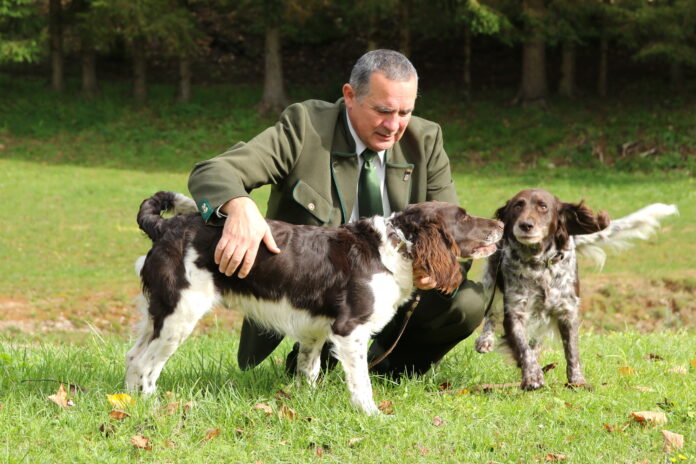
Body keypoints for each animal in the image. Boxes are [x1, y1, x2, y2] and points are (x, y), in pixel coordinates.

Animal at [126, 191, 503, 414]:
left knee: (132, 357)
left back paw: (127, 401)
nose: (501, 223)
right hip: (180, 313)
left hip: (159, 313)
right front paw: (372, 414)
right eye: (464, 217)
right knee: (147, 365)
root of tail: (166, 228)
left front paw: (305, 403)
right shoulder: (351, 330)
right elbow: (361, 382)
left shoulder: (315, 331)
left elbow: (309, 370)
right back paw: (151, 406)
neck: (395, 248)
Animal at [474, 188, 677, 390]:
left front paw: (577, 381)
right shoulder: (516, 311)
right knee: (491, 314)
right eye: (517, 205)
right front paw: (532, 376)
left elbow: (571, 351)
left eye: (543, 206)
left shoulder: (567, 311)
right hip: (491, 281)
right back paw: (485, 341)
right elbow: (523, 347)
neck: (540, 265)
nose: (525, 225)